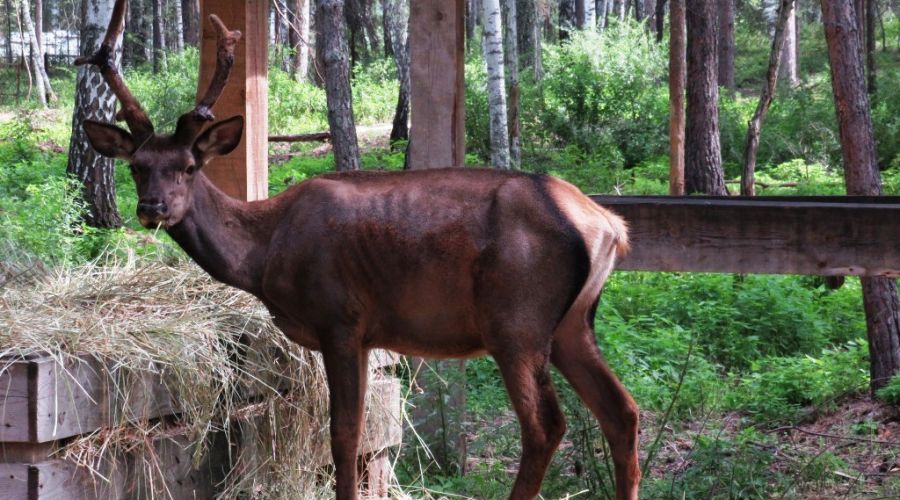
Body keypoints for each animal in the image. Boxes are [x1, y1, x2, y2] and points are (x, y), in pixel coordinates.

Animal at [75, 1, 640, 498]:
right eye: (137, 166)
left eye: (189, 167)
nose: (152, 207)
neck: (265, 253)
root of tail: (610, 225)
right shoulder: (369, 335)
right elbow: (361, 429)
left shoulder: (340, 318)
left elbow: (344, 436)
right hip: (571, 325)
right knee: (623, 411)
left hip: (516, 318)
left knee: (546, 423)